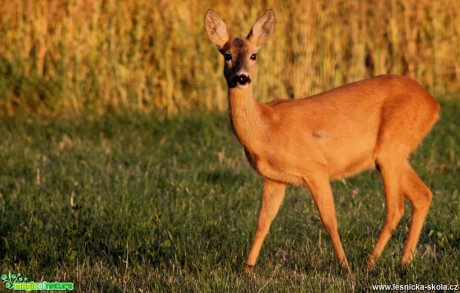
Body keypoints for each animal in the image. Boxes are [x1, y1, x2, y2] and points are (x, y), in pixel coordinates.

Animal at [204, 9, 438, 274]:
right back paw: (404, 261)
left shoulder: (315, 168)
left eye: (254, 55)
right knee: (423, 195)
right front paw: (248, 268)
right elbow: (263, 223)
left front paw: (345, 266)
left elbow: (329, 220)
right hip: (394, 154)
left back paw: (369, 263)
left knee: (396, 206)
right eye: (227, 55)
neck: (266, 129)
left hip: (390, 149)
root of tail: (433, 104)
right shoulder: (274, 179)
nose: (241, 78)